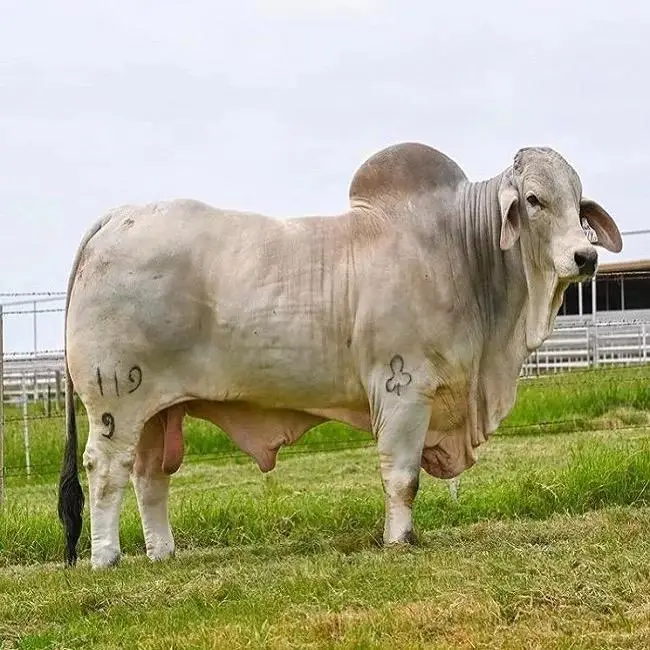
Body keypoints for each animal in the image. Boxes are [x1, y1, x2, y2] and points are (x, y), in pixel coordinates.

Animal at [57, 142, 622, 569]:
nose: (584, 256)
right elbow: (403, 476)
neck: (461, 252)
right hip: (116, 400)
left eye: (578, 203)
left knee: (149, 477)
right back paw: (106, 558)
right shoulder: (403, 388)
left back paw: (163, 554)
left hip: (158, 410)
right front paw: (399, 540)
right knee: (105, 470)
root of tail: (119, 216)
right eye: (533, 199)